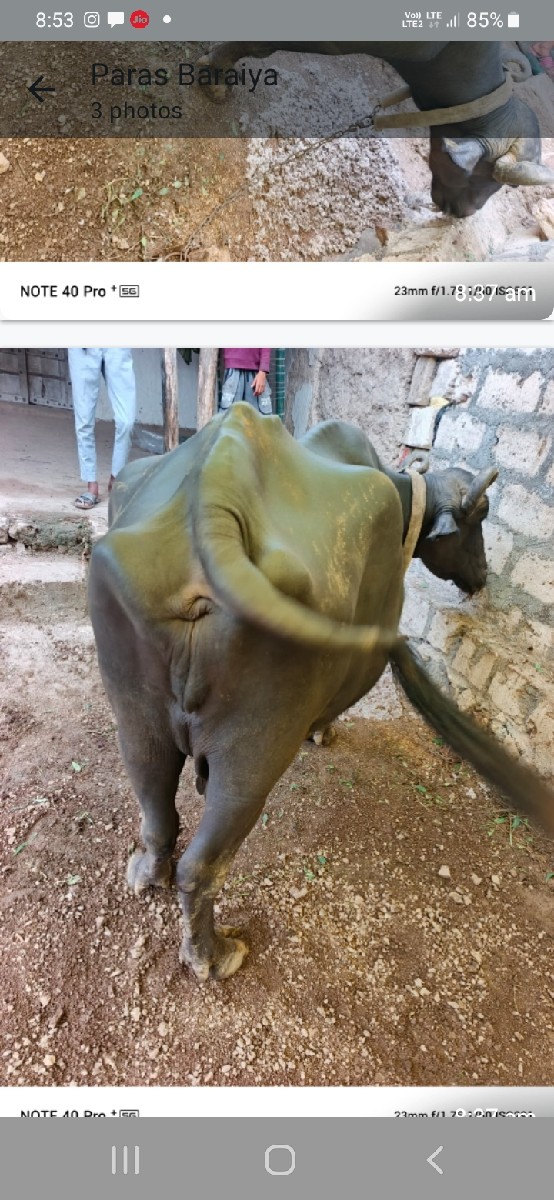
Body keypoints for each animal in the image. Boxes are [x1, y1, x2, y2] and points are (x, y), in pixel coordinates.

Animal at [88, 404, 554, 982]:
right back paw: (213, 956)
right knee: (202, 865)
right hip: (254, 748)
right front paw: (322, 730)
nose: (483, 575)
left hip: (136, 716)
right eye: (481, 517)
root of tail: (211, 508)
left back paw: (146, 872)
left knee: (157, 811)